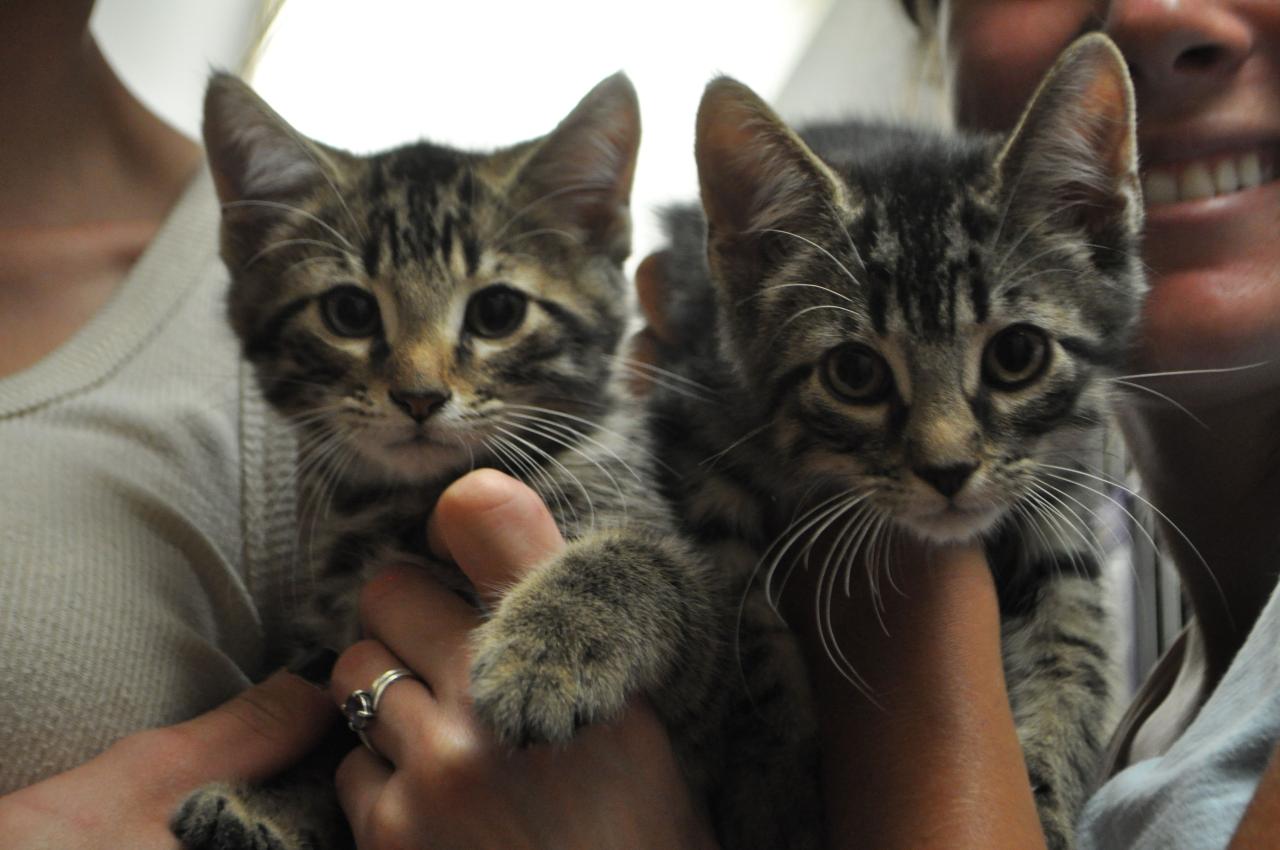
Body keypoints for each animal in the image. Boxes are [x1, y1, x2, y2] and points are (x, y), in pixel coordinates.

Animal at [170, 71, 737, 850]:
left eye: (497, 312)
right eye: (349, 312)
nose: (418, 396)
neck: (420, 503)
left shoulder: (721, 676)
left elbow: (645, 560)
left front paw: (545, 656)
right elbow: (327, 716)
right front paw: (269, 805)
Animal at [655, 33, 1146, 850]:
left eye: (1017, 355)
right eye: (855, 373)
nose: (948, 470)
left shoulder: (1066, 475)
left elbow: (1072, 642)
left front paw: (1047, 794)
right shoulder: (695, 432)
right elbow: (746, 631)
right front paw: (777, 795)